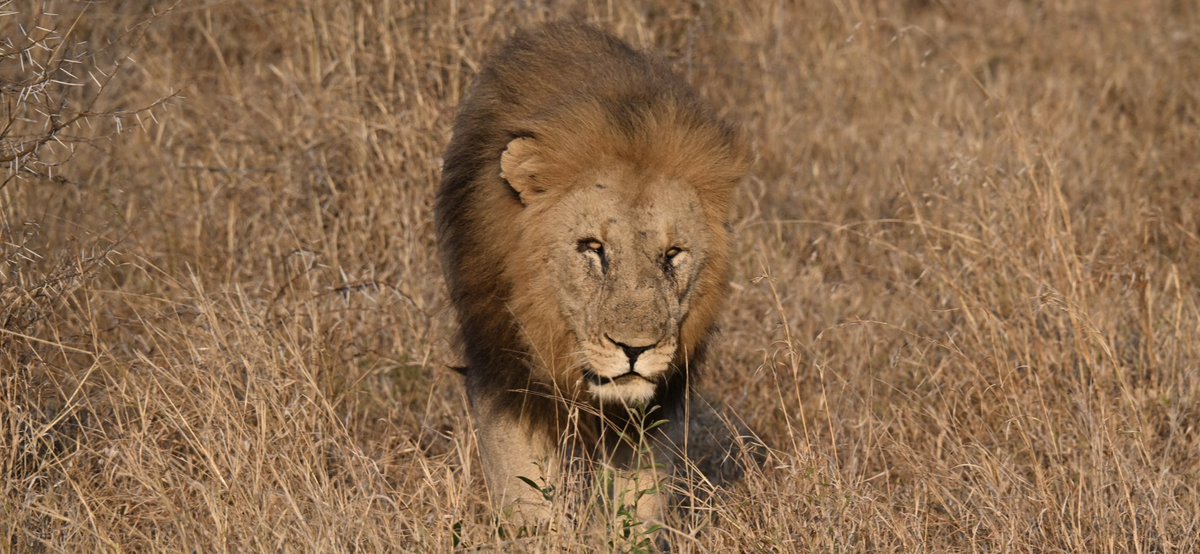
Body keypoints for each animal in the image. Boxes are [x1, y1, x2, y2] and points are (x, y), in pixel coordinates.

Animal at [435, 21, 748, 527]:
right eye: (593, 249)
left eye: (672, 254)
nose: (635, 350)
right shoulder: (503, 375)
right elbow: (524, 496)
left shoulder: (654, 407)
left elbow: (637, 508)